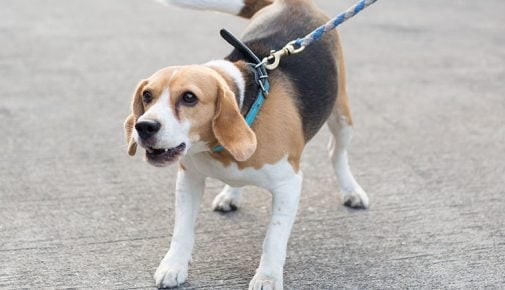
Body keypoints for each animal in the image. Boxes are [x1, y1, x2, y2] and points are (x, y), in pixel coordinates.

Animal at [124, 0, 368, 288]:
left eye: (189, 98)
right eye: (147, 95)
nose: (144, 126)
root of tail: (295, 4)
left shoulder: (289, 184)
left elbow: (273, 239)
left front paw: (267, 277)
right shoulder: (189, 178)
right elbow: (181, 230)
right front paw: (174, 266)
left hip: (342, 117)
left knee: (336, 153)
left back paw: (351, 191)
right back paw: (230, 194)